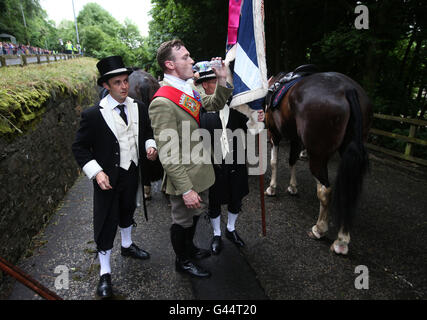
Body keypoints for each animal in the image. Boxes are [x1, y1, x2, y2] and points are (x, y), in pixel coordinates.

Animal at [266, 70, 372, 255]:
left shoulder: (275, 134)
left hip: (317, 155)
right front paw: (292, 186)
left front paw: (272, 187)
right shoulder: (295, 139)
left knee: (325, 191)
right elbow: (292, 160)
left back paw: (320, 229)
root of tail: (348, 89)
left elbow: (274, 161)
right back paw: (342, 239)